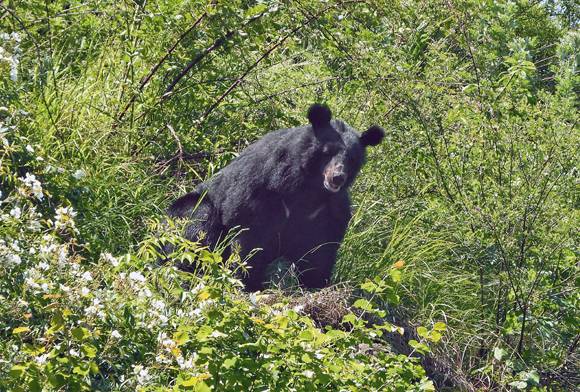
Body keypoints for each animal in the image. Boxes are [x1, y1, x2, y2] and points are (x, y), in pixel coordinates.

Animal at [168, 104, 386, 290]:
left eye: (352, 158)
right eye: (327, 152)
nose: (337, 177)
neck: (309, 188)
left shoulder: (328, 211)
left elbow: (320, 249)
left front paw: (316, 284)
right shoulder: (262, 188)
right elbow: (249, 233)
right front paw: (247, 282)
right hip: (191, 210)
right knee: (197, 226)